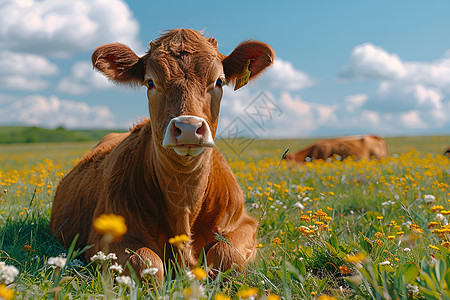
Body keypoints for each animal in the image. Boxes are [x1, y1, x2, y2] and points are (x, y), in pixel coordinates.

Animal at [49, 29, 274, 280]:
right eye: (150, 82)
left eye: (219, 81)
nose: (188, 127)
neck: (184, 200)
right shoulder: (102, 238)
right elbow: (147, 262)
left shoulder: (245, 224)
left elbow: (226, 255)